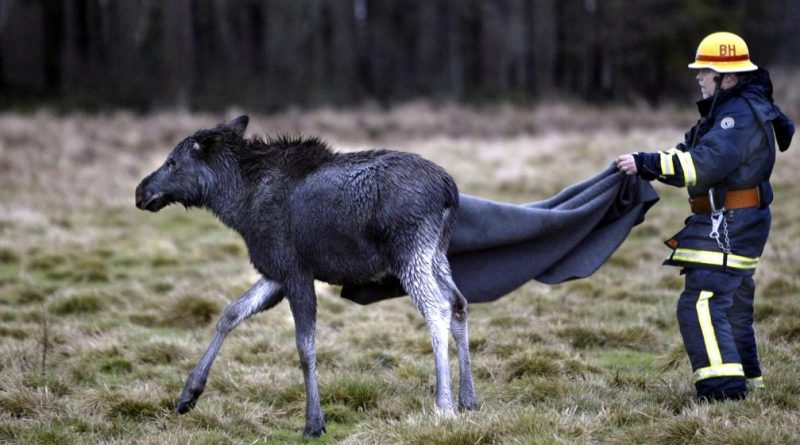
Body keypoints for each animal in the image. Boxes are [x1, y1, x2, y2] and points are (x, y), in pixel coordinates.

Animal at [134, 116, 478, 436]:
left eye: (172, 161)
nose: (140, 191)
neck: (237, 204)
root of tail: (450, 190)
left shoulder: (294, 271)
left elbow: (304, 345)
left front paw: (314, 422)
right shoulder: (276, 271)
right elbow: (231, 313)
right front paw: (189, 393)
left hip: (409, 250)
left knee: (437, 308)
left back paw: (444, 405)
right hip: (436, 253)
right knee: (459, 302)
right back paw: (468, 399)